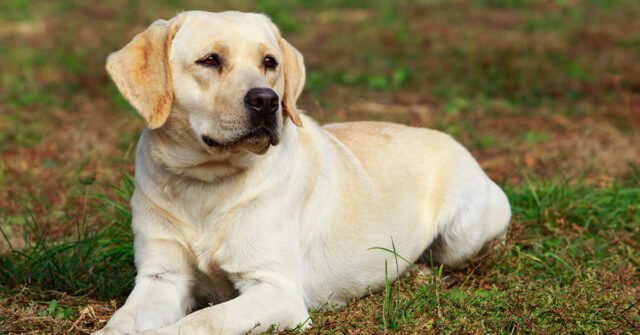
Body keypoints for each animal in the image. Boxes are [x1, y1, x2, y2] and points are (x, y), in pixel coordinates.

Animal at [95, 10, 512, 335]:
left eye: (270, 62)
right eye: (210, 60)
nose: (267, 100)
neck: (206, 182)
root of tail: (453, 140)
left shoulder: (276, 290)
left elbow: (200, 321)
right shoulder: (161, 278)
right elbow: (121, 322)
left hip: (464, 234)